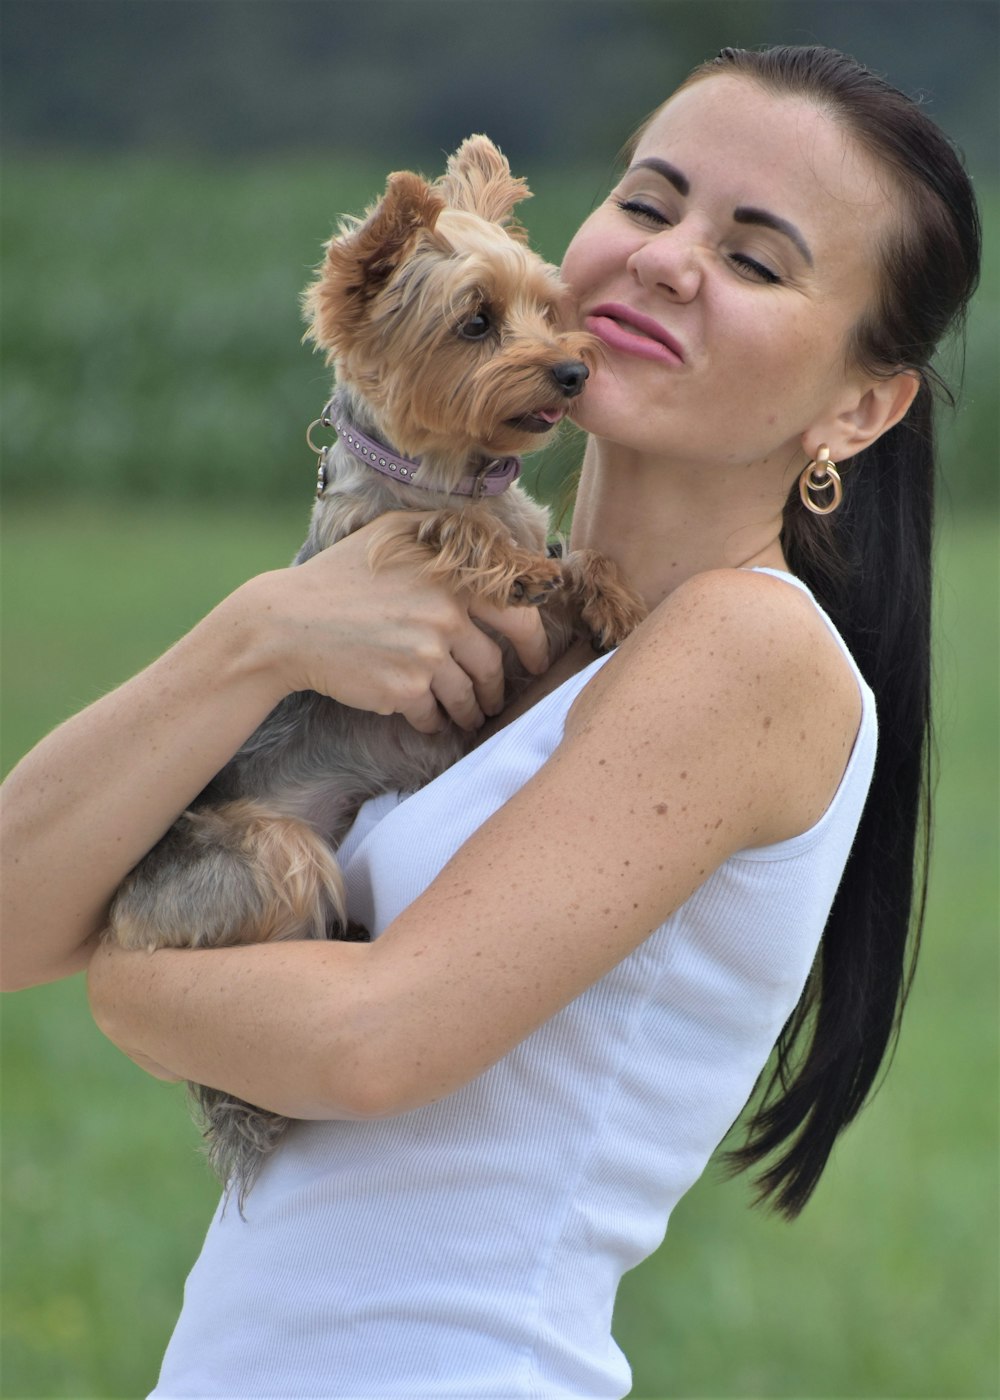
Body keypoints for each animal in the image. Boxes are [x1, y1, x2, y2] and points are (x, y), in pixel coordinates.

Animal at [105, 136, 641, 1204]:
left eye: (549, 307)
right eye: (476, 322)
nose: (571, 370)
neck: (458, 468)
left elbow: (566, 558)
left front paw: (602, 587)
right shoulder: (376, 542)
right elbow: (449, 531)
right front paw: (511, 560)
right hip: (268, 854)